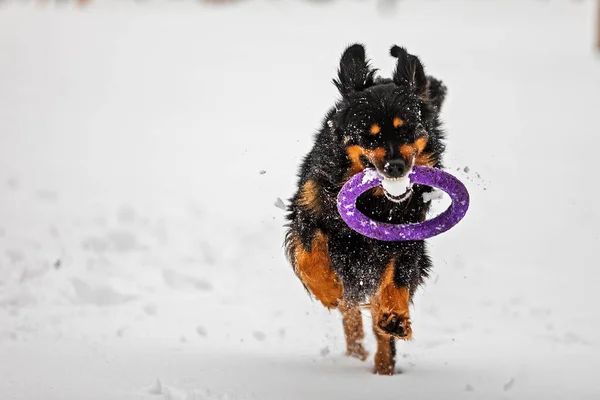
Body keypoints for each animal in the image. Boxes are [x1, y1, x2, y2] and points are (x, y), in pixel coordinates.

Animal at [284, 43, 446, 376]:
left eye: (407, 130)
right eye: (369, 135)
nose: (395, 166)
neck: (374, 202)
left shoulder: (409, 237)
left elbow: (398, 276)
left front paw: (395, 317)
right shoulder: (307, 209)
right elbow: (310, 255)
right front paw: (327, 289)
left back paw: (382, 366)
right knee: (350, 312)